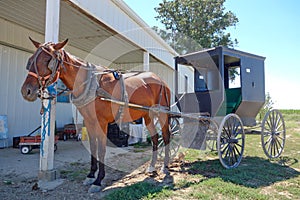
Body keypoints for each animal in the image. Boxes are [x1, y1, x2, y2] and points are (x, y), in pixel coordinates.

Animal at [20, 37, 171, 192]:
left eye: (47, 60)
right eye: (31, 60)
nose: (26, 91)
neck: (92, 86)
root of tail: (160, 80)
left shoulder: (102, 122)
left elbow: (102, 150)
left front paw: (98, 180)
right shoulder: (89, 121)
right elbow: (93, 147)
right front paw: (91, 175)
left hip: (163, 114)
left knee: (166, 137)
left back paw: (165, 167)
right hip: (148, 115)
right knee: (155, 138)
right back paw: (152, 167)